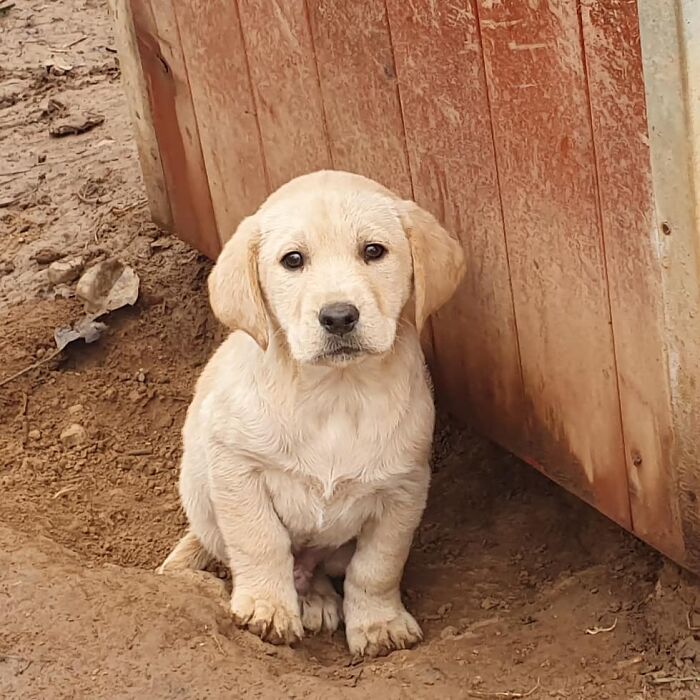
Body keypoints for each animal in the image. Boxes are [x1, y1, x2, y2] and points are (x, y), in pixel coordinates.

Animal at [159, 170, 464, 656]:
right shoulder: (236, 467)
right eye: (293, 260)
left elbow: (377, 566)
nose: (338, 316)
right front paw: (266, 608)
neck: (336, 393)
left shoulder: (404, 488)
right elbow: (261, 541)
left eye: (373, 251)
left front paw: (378, 623)